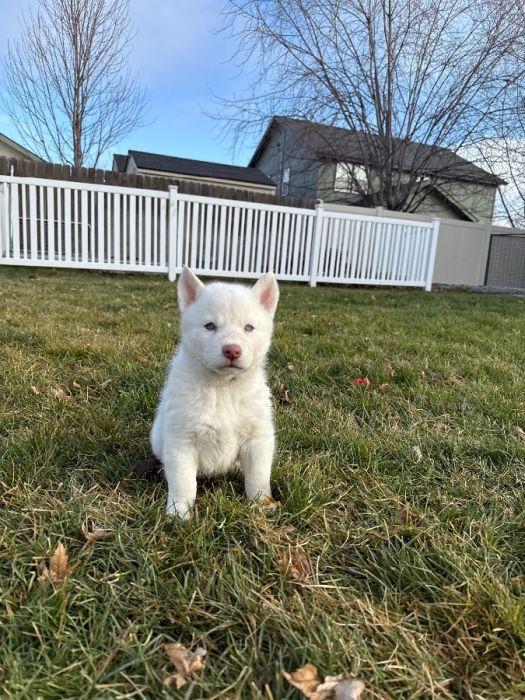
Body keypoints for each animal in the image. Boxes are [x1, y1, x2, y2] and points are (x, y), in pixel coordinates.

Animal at [149, 268, 280, 520]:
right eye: (210, 326)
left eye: (249, 327)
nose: (232, 350)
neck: (223, 387)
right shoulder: (181, 441)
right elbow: (183, 482)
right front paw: (178, 513)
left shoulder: (258, 439)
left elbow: (258, 476)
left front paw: (261, 503)